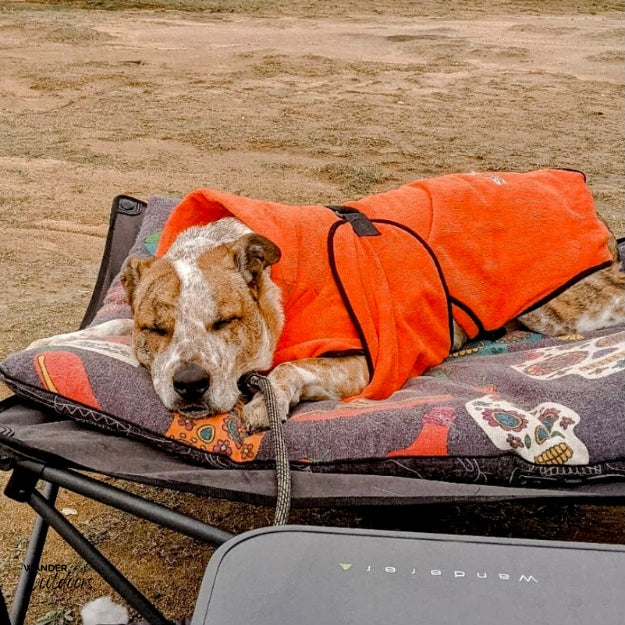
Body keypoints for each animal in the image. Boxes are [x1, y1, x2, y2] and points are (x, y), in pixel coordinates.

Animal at [31, 173, 624, 432]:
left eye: (225, 321)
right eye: (156, 330)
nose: (191, 384)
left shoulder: (362, 362)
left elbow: (289, 367)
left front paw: (265, 401)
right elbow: (103, 330)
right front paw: (54, 339)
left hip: (561, 308)